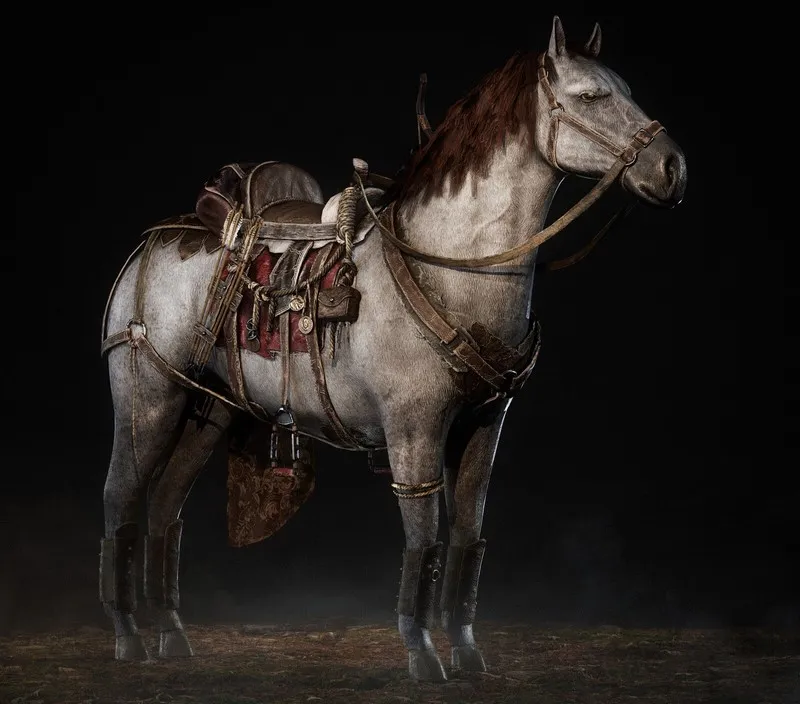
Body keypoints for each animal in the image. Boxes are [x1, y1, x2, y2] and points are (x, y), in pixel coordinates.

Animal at [98, 16, 687, 682]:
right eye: (591, 96)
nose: (672, 167)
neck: (450, 266)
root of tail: (160, 238)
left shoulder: (484, 427)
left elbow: (467, 539)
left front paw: (467, 651)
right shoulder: (414, 433)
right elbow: (423, 540)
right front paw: (423, 653)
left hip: (212, 408)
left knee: (165, 506)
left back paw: (171, 634)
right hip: (148, 399)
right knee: (121, 497)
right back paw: (128, 636)